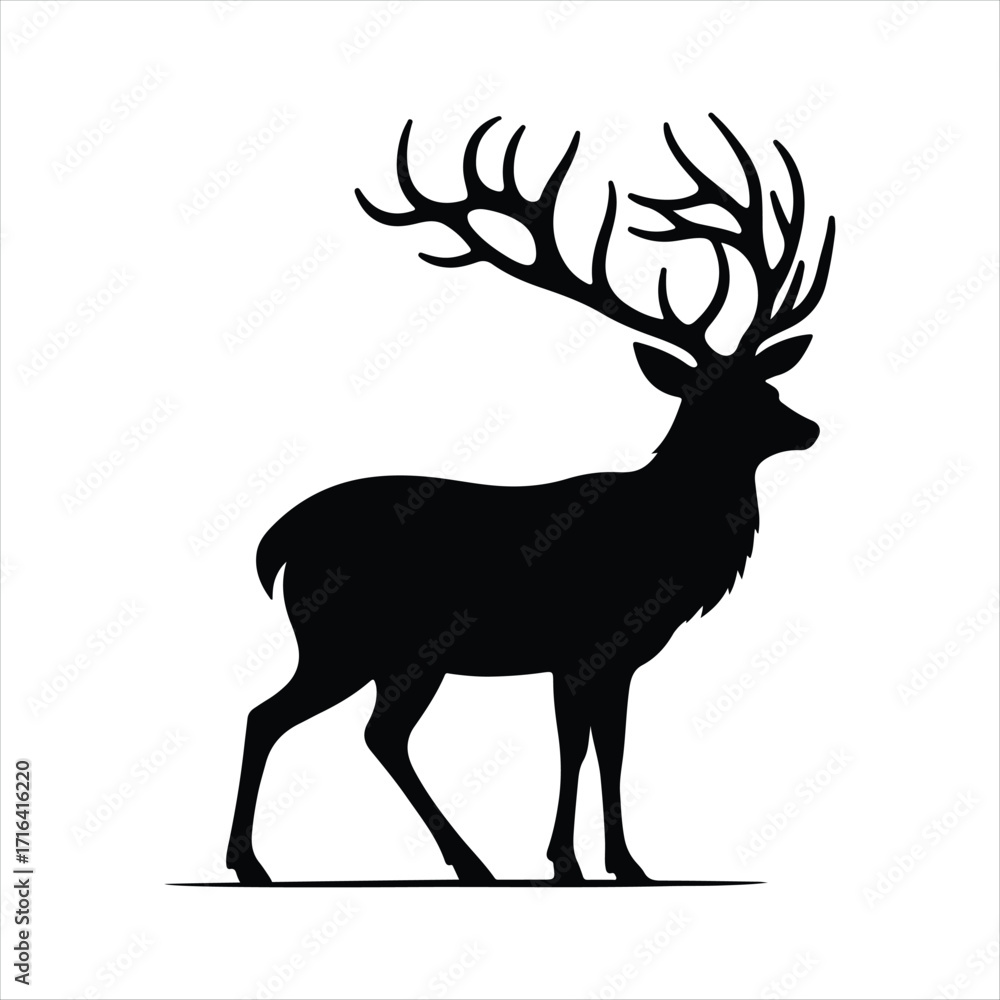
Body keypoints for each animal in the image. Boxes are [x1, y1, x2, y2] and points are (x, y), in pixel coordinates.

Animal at [226, 114, 835, 885]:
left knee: (375, 731)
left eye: (768, 386)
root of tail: (275, 544)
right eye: (714, 399)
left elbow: (612, 750)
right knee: (274, 716)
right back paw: (255, 862)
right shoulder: (578, 644)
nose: (809, 427)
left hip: (394, 653)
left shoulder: (619, 658)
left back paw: (465, 861)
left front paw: (626, 864)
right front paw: (566, 861)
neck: (665, 543)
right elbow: (574, 747)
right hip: (346, 638)